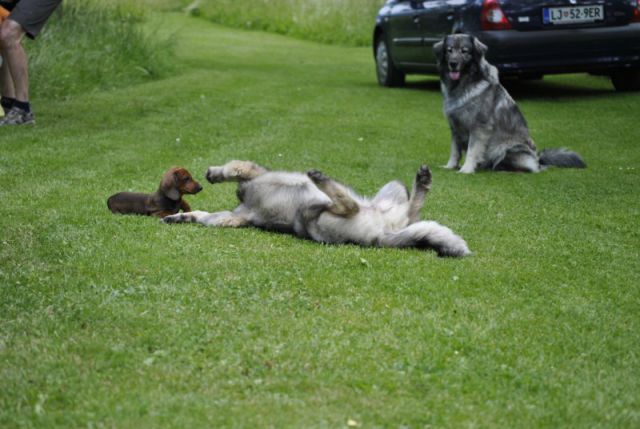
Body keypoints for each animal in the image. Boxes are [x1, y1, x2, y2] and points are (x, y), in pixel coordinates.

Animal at [162, 159, 468, 256]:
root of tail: (384, 234)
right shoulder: (235, 215)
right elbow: (203, 216)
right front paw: (180, 217)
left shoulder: (252, 172)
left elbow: (232, 167)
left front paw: (214, 174)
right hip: (315, 218)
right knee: (404, 212)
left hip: (316, 216)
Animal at [432, 34, 588, 173]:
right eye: (449, 50)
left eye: (464, 51)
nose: (453, 63)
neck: (462, 84)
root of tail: (538, 159)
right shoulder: (455, 128)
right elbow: (454, 151)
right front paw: (450, 166)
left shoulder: (479, 128)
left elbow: (472, 150)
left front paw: (466, 169)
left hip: (506, 148)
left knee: (527, 168)